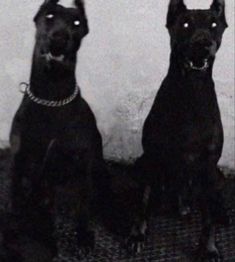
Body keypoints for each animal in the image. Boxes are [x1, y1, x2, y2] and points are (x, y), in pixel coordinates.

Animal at [2, 0, 110, 258]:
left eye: (77, 22)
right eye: (49, 16)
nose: (60, 38)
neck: (52, 96)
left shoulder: (83, 164)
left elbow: (83, 206)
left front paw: (83, 237)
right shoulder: (21, 160)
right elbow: (19, 202)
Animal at [127, 0, 229, 260]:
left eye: (214, 24)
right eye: (185, 23)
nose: (203, 44)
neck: (191, 88)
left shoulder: (208, 166)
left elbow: (208, 217)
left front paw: (210, 248)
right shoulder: (152, 158)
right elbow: (142, 204)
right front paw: (138, 235)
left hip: (217, 176)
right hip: (140, 164)